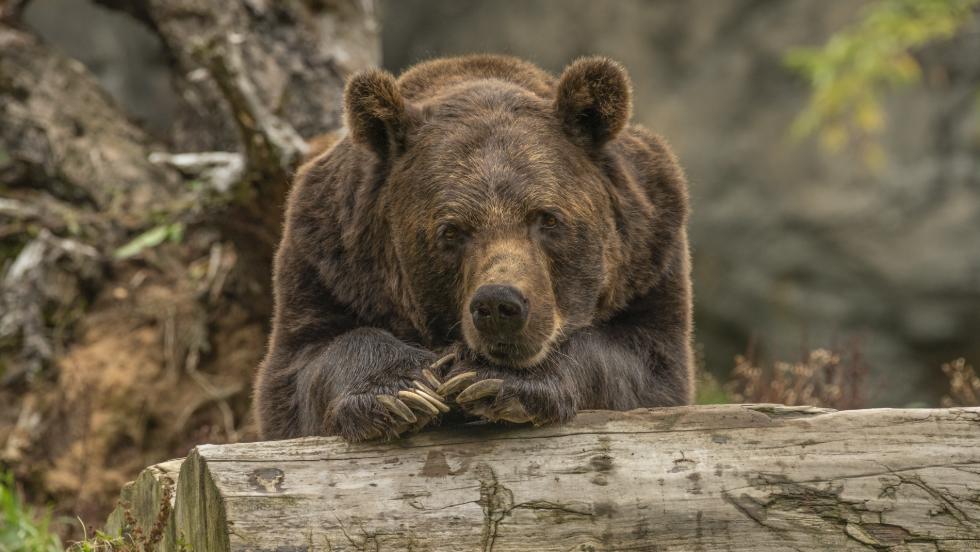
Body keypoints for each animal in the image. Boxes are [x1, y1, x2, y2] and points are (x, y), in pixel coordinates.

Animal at [255, 54, 696, 442]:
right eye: (451, 230)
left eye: (547, 218)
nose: (500, 305)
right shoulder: (327, 260)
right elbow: (302, 368)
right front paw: (403, 390)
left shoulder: (649, 256)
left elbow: (644, 366)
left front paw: (494, 379)